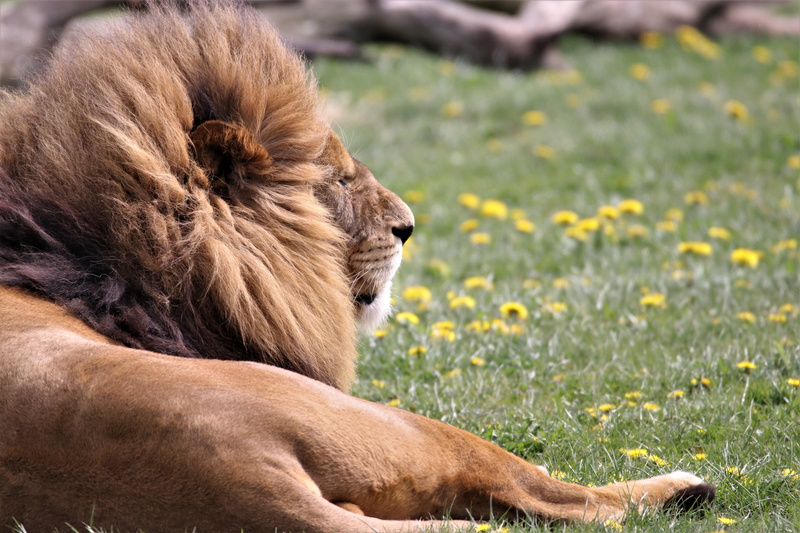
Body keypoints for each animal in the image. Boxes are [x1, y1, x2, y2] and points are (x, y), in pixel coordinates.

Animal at [0, 2, 714, 531]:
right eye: (338, 181)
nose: (409, 226)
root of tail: (256, 490)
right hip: (389, 423)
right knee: (555, 494)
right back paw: (684, 488)